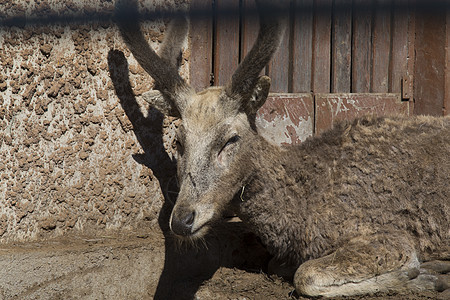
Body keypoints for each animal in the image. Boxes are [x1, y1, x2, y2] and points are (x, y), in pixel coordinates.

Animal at [114, 0, 448, 296]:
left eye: (231, 139)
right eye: (178, 141)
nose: (182, 220)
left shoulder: (385, 233)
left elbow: (306, 275)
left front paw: (428, 275)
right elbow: (280, 267)